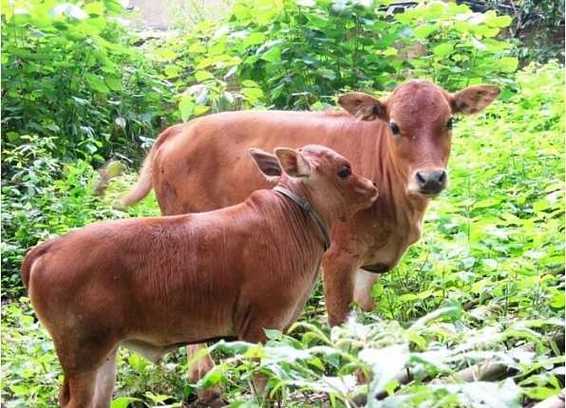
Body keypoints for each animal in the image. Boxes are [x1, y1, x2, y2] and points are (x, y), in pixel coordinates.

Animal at [22, 145, 380, 406]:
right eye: (344, 170)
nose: (372, 186)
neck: (289, 220)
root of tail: (46, 249)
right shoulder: (258, 327)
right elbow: (264, 388)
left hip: (104, 353)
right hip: (81, 355)